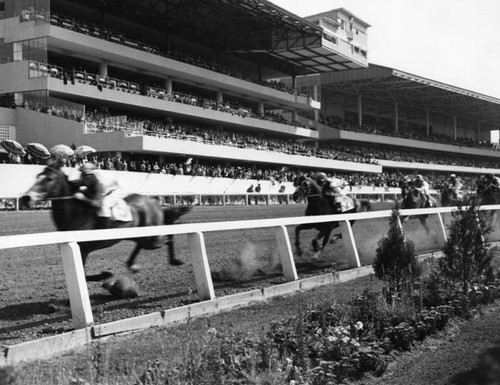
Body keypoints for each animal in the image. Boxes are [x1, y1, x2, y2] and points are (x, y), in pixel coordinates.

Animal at [20, 162, 191, 284]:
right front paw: (103, 275)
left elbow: (84, 275)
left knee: (167, 238)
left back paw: (175, 259)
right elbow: (83, 275)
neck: (76, 213)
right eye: (37, 176)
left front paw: (104, 275)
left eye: (49, 179)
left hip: (152, 238)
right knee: (140, 245)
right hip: (139, 235)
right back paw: (132, 264)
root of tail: (154, 203)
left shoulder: (83, 249)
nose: (25, 198)